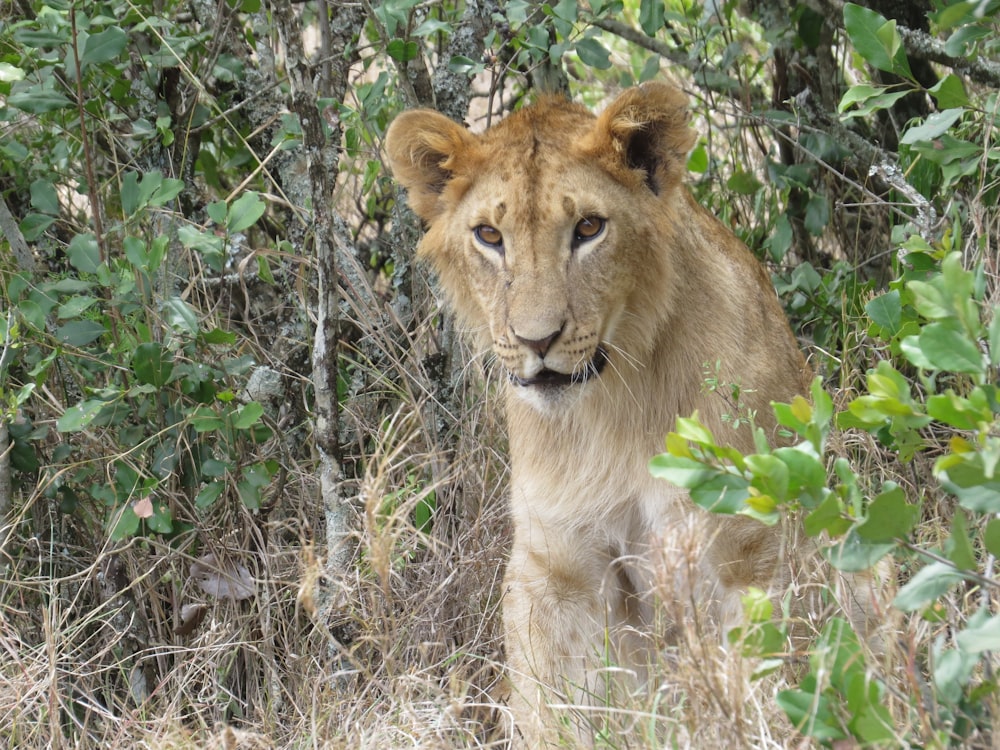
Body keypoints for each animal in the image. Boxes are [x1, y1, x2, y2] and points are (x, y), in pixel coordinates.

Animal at [386, 85, 832, 748]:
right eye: (489, 235)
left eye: (589, 228)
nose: (536, 340)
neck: (612, 407)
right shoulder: (553, 567)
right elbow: (549, 705)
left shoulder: (755, 552)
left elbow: (773, 685)